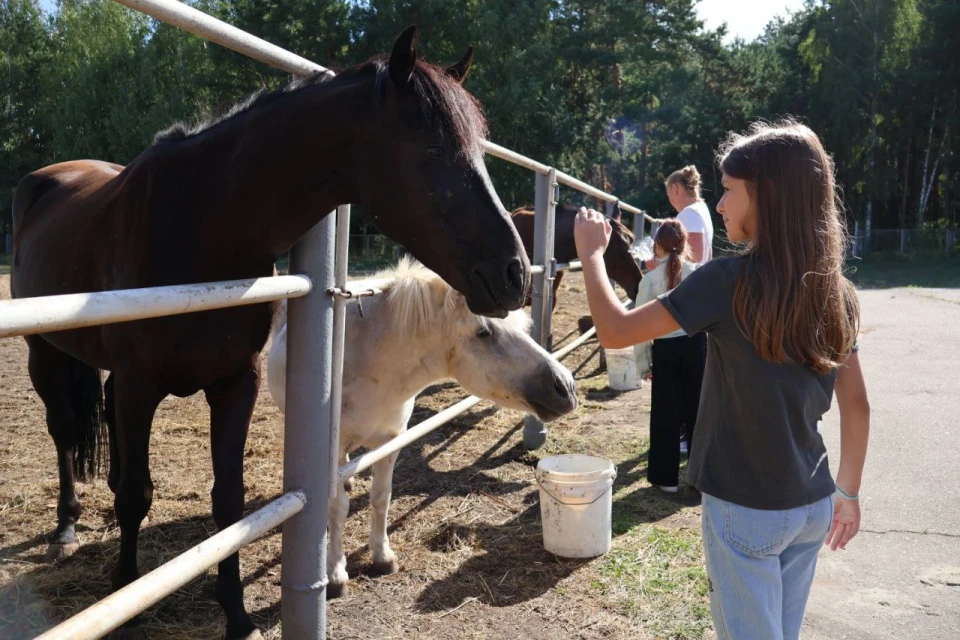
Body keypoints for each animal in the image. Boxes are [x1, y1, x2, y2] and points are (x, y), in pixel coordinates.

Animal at [11, 27, 528, 636]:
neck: (201, 224)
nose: (515, 274)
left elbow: (229, 505)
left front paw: (237, 614)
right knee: (65, 432)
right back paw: (66, 525)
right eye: (432, 152)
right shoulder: (141, 385)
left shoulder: (236, 383)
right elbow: (138, 495)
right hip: (44, 353)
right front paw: (123, 595)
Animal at [266, 258, 572, 596]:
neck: (366, 364)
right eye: (483, 332)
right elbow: (336, 507)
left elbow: (381, 496)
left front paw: (382, 556)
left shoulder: (390, 443)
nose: (565, 387)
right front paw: (334, 573)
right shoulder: (332, 455)